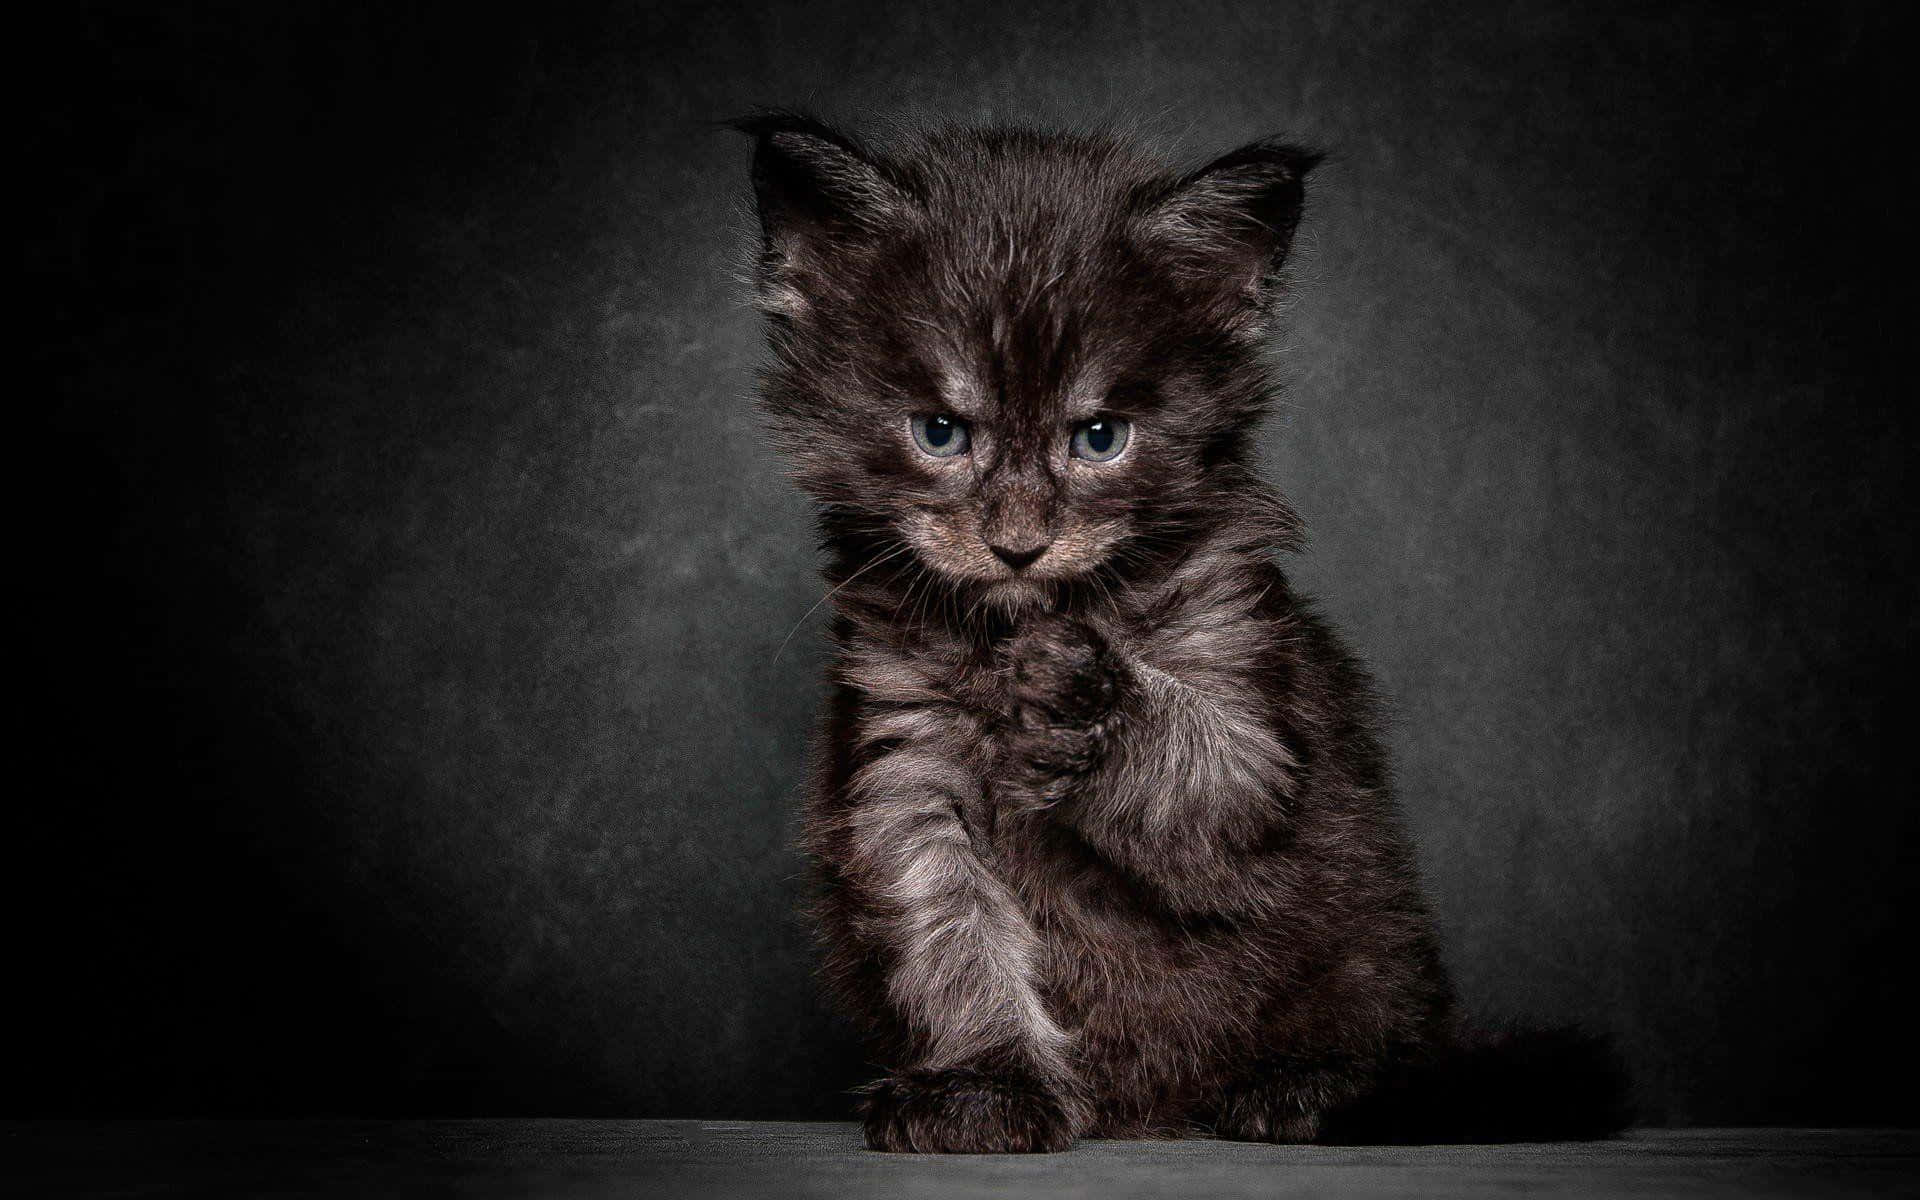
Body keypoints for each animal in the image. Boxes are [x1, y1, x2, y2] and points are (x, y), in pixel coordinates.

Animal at [729, 112, 1620, 1152]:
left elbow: (1197, 759)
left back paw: (1305, 1084)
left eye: (1101, 437)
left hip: (1375, 946)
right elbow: (955, 936)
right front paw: (986, 1084)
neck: (1007, 629)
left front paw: (1076, 687)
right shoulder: (906, 765)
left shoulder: (1248, 718)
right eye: (940, 433)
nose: (1019, 545)